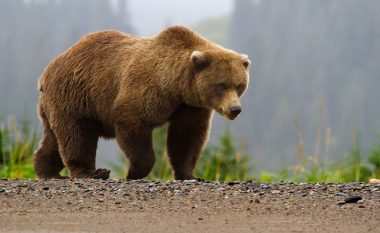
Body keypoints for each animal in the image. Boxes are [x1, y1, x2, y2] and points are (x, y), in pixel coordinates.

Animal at [34, 24, 251, 179]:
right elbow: (133, 121)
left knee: (54, 138)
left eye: (239, 85)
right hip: (75, 95)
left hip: (57, 104)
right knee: (77, 134)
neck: (177, 85)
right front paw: (134, 172)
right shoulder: (148, 88)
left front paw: (190, 174)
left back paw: (47, 171)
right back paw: (91, 172)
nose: (235, 109)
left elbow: (186, 137)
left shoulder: (190, 106)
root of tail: (47, 71)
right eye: (222, 84)